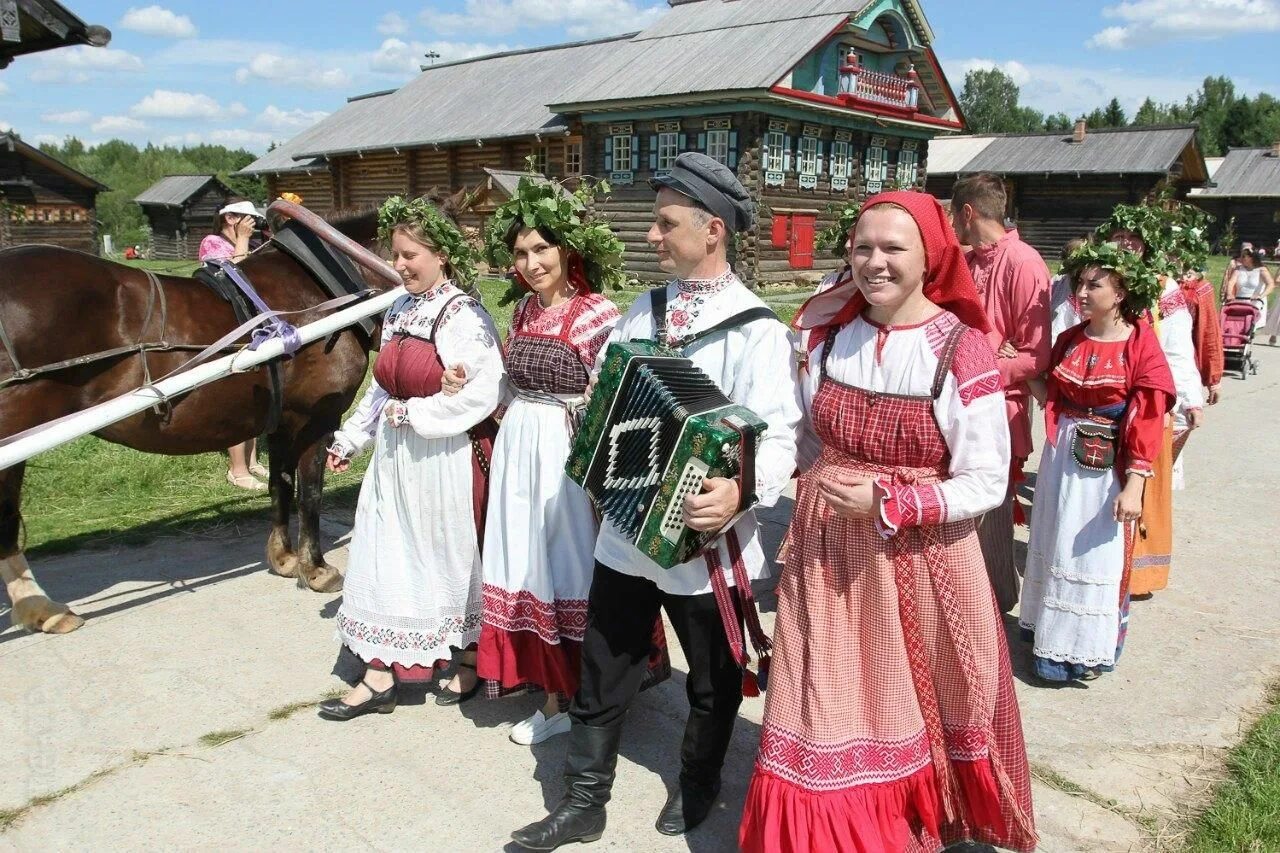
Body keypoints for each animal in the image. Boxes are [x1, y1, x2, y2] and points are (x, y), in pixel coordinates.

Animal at [0, 208, 386, 627]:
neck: (323, 291)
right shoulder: (318, 418)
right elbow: (310, 493)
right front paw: (315, 568)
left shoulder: (283, 421)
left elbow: (280, 486)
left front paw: (284, 558)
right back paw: (41, 608)